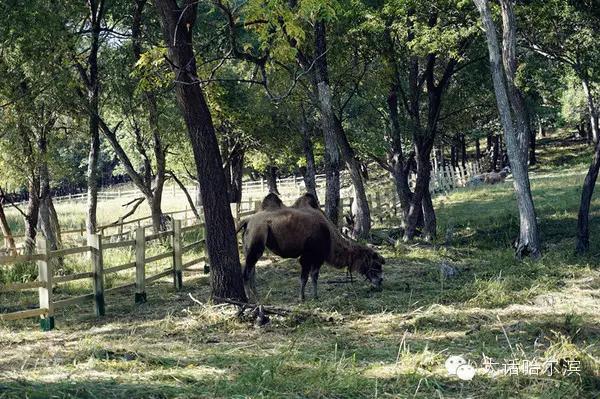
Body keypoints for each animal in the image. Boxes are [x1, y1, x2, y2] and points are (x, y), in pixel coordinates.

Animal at [236, 192, 384, 302]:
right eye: (376, 264)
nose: (380, 281)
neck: (330, 236)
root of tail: (247, 220)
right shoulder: (311, 256)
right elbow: (308, 277)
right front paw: (304, 298)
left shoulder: (315, 257)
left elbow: (312, 276)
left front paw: (313, 296)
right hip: (257, 237)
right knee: (246, 272)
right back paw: (249, 298)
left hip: (251, 245)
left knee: (252, 269)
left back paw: (257, 295)